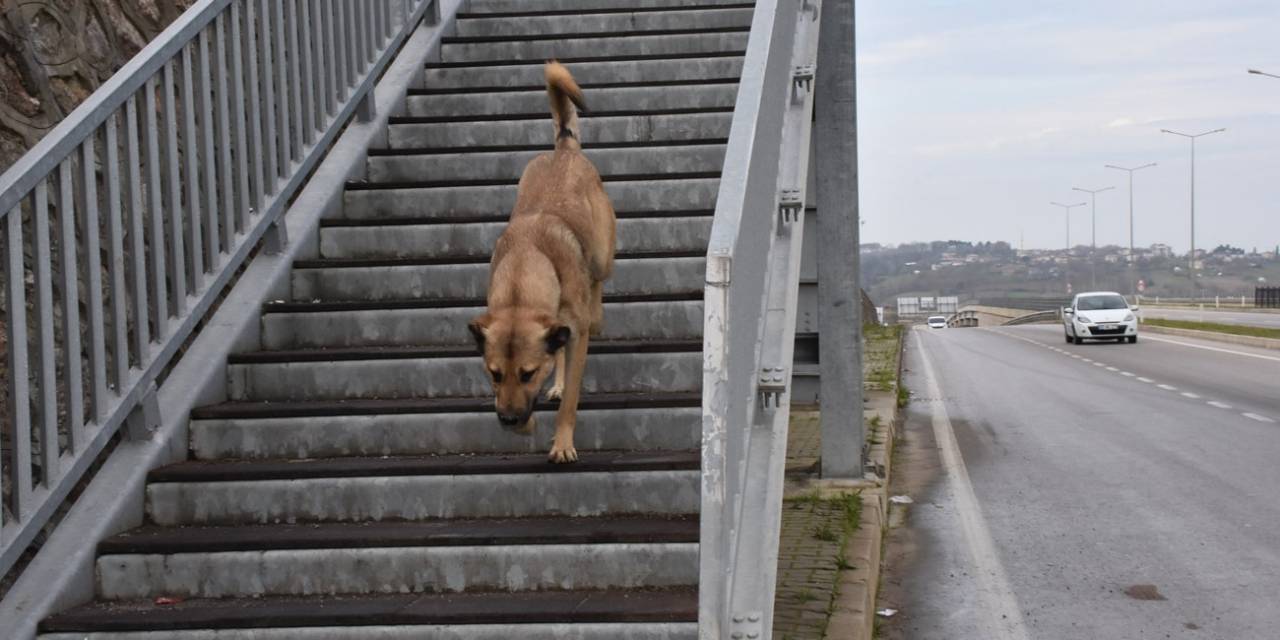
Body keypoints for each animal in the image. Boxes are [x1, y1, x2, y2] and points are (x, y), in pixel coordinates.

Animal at [471, 62, 614, 465]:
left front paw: (562, 443)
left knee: (598, 281)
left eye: (527, 373)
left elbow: (571, 403)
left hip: (601, 253)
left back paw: (597, 313)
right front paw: (528, 424)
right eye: (494, 374)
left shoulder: (575, 336)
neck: (523, 276)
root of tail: (563, 148)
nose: (507, 419)